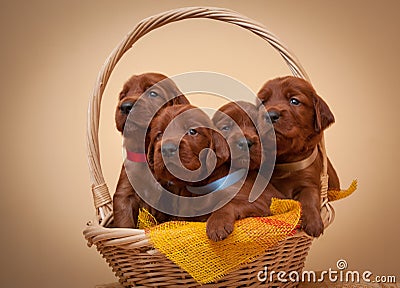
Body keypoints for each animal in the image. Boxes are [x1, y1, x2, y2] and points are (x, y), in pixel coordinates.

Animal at [208, 101, 286, 241]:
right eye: (226, 127)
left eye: (257, 128)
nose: (245, 142)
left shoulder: (260, 203)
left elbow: (227, 203)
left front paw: (217, 224)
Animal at [258, 75, 340, 237]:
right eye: (263, 102)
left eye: (294, 101)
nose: (270, 115)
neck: (286, 159)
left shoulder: (309, 181)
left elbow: (309, 197)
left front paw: (314, 223)